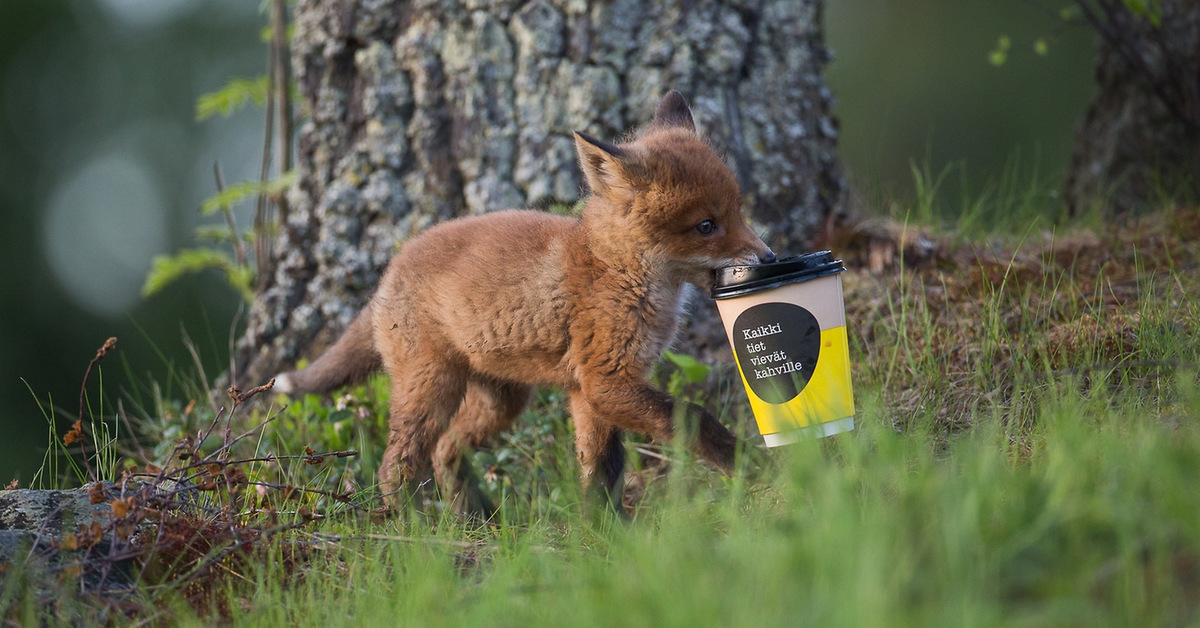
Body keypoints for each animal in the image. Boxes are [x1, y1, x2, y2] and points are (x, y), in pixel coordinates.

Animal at [274, 90, 772, 513]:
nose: (769, 258)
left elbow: (601, 468)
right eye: (706, 226)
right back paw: (416, 532)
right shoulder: (605, 381)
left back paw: (472, 519)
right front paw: (751, 466)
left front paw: (604, 532)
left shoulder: (587, 390)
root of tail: (390, 270)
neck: (615, 269)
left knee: (445, 450)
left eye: (738, 212)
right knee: (396, 465)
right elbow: (694, 418)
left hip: (502, 400)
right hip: (433, 387)